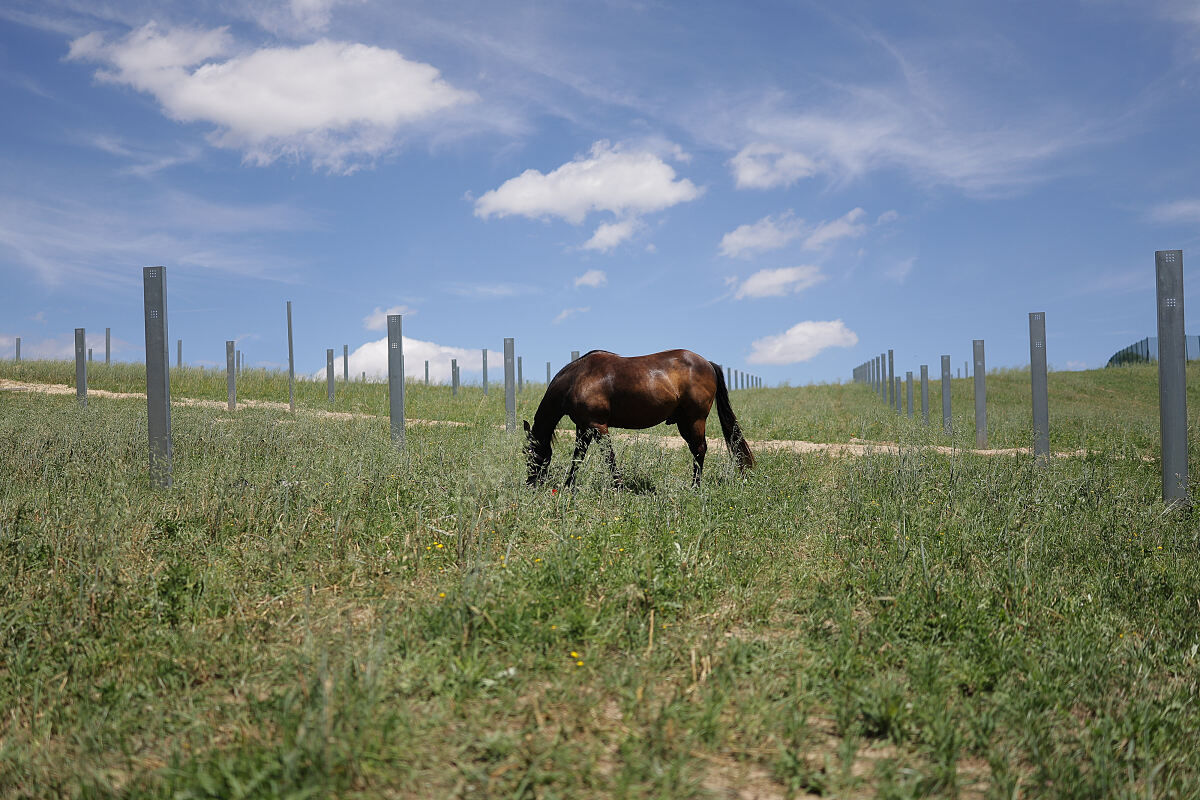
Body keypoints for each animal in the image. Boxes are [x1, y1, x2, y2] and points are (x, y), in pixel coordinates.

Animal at [523, 350, 748, 489]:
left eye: (528, 453)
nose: (531, 483)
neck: (577, 378)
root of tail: (708, 363)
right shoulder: (584, 428)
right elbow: (578, 457)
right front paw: (569, 485)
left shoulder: (598, 426)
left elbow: (609, 457)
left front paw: (619, 486)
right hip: (684, 423)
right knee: (697, 449)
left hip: (695, 420)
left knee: (700, 449)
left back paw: (695, 486)